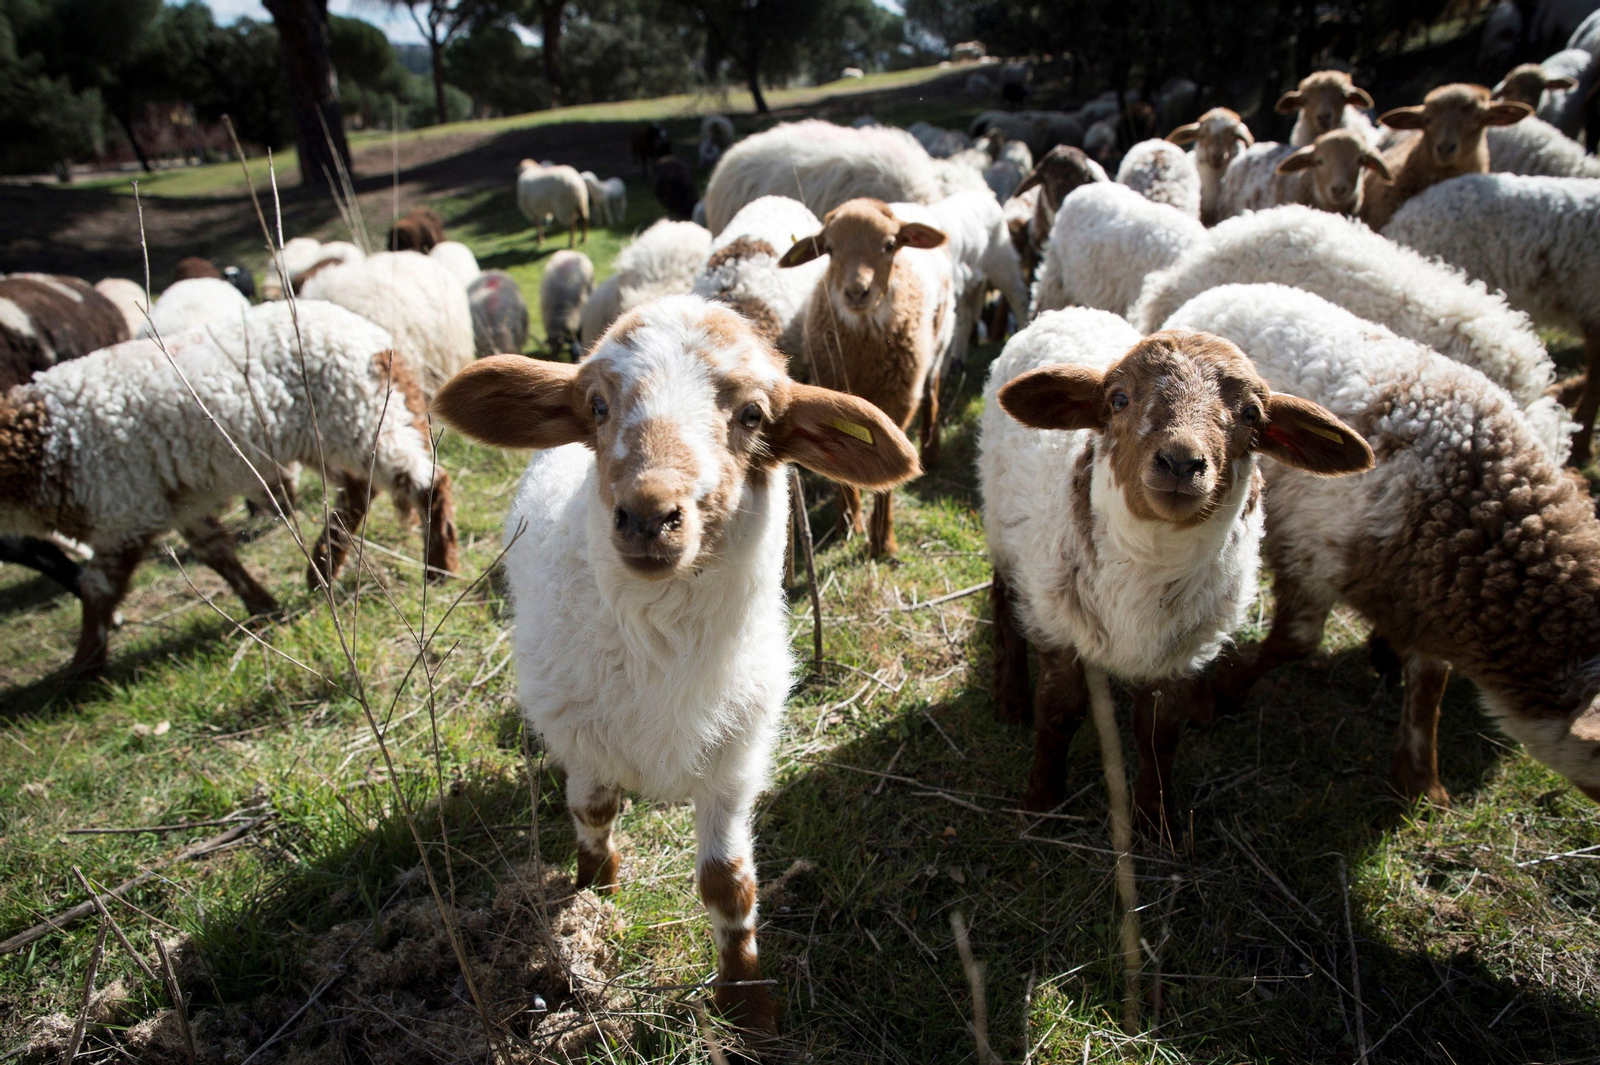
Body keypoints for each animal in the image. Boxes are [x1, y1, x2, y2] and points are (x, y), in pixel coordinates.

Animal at [0, 299, 458, 672]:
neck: (43, 444)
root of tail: (377, 339)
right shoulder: (175, 505)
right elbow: (217, 554)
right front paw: (262, 606)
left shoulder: (124, 510)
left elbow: (96, 587)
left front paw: (82, 667)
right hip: (335, 433)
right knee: (361, 490)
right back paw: (321, 569)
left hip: (361, 418)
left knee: (424, 482)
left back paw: (437, 567)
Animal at [432, 295, 918, 1040]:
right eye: (597, 405)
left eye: (753, 414)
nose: (647, 514)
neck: (663, 644)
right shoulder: (581, 735)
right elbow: (593, 809)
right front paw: (594, 897)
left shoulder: (734, 759)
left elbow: (729, 884)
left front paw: (746, 1002)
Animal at [778, 199, 953, 555]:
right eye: (829, 249)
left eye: (890, 245)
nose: (857, 292)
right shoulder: (831, 390)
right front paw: (848, 524)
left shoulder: (899, 402)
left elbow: (890, 477)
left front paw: (882, 541)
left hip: (939, 341)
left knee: (932, 392)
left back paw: (931, 451)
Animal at [979, 307, 1371, 823]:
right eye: (1119, 399)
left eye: (1252, 415)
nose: (1182, 463)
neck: (1152, 558)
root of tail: (1070, 311)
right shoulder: (1057, 623)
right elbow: (1061, 710)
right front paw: (1043, 797)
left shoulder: (1179, 656)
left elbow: (1157, 734)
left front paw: (1156, 819)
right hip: (1003, 524)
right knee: (1003, 597)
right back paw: (1009, 698)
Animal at [1165, 282, 1600, 810]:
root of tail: (1226, 292)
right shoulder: (1313, 553)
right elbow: (1296, 641)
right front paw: (1228, 689)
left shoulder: (1428, 592)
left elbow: (1430, 685)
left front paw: (1421, 783)